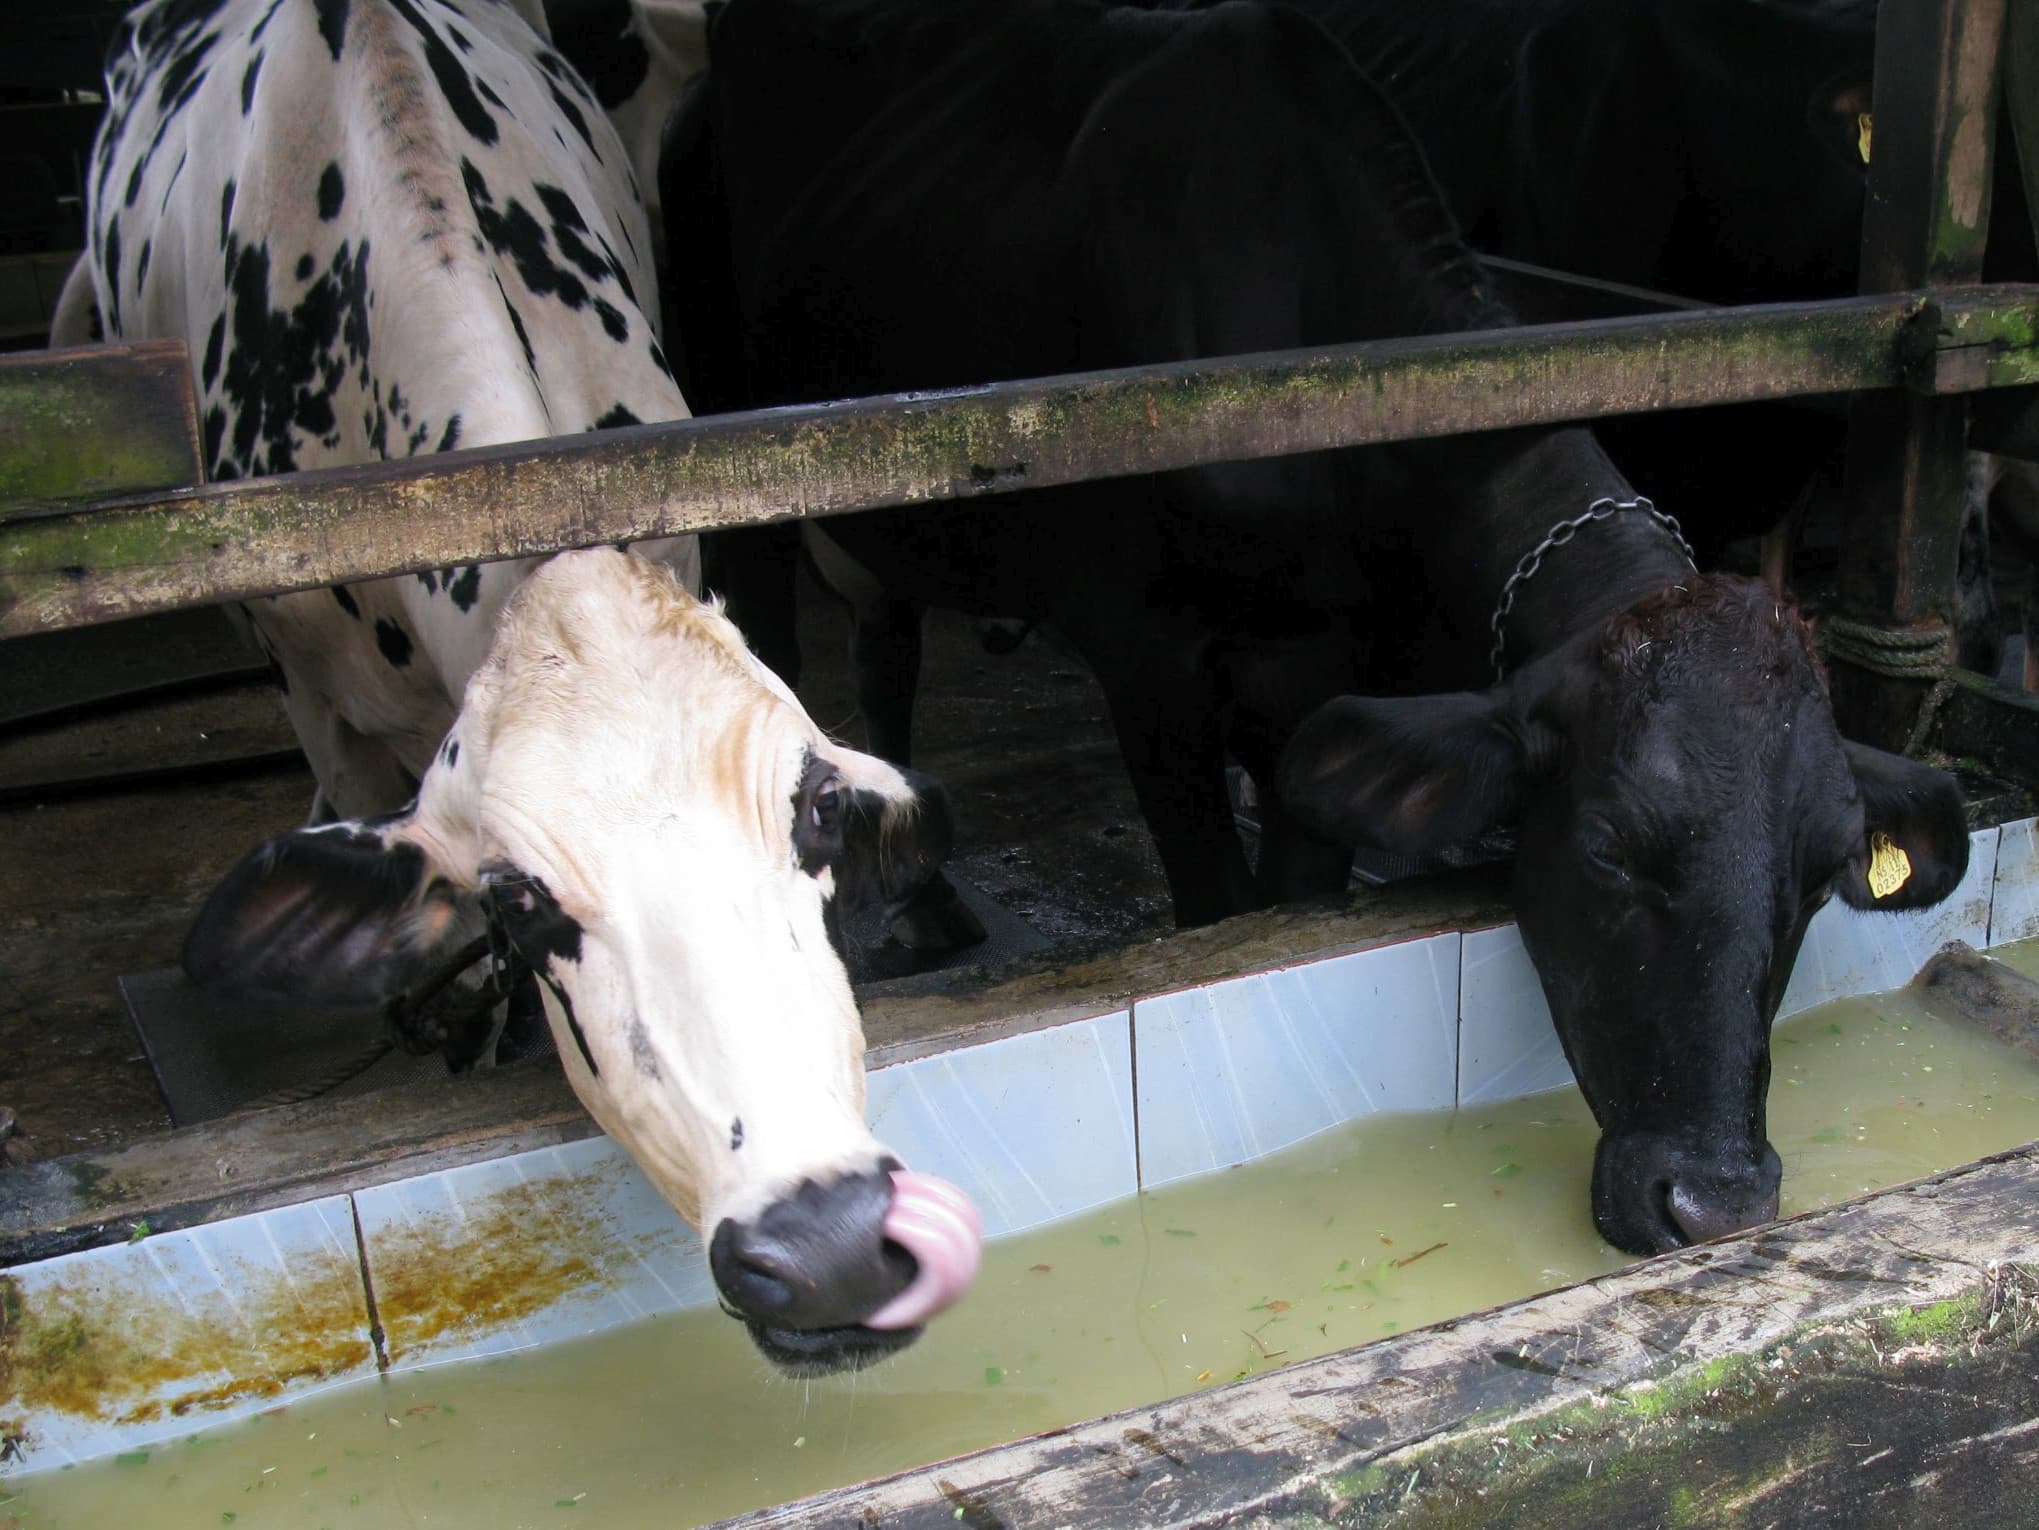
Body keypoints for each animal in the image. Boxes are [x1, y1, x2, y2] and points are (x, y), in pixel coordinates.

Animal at [663, 0, 1973, 1254]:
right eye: (1604, 846)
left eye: (1822, 871)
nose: (1715, 1201)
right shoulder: (1148, 660)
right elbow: (1214, 907)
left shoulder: (1329, 689)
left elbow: (1292, 896)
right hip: (743, 471)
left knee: (882, 642)